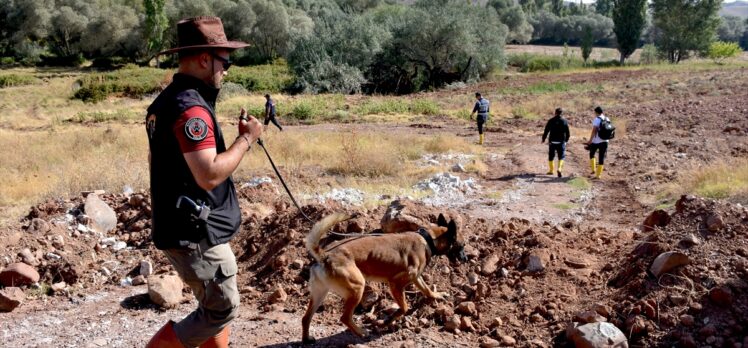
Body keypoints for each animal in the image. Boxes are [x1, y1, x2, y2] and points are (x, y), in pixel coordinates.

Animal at [300, 212, 464, 342]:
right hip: (358, 288)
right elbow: (404, 307)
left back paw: (307, 339)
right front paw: (387, 322)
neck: (427, 238)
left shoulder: (416, 278)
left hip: (320, 293)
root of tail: (325, 255)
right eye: (461, 245)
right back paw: (361, 332)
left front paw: (436, 295)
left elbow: (427, 290)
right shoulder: (395, 283)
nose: (466, 258)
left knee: (305, 318)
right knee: (344, 318)